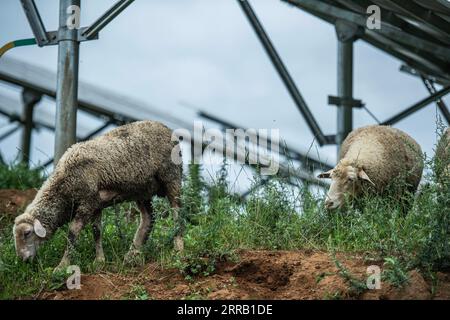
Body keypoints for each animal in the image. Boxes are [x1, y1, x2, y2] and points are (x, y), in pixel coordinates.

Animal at [14, 120, 183, 270]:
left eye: (27, 233)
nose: (23, 260)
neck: (63, 186)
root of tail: (167, 128)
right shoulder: (96, 203)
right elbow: (97, 231)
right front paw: (99, 261)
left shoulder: (87, 202)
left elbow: (72, 233)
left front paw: (62, 266)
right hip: (142, 189)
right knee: (148, 218)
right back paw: (133, 254)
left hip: (171, 176)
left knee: (177, 212)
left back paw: (178, 249)